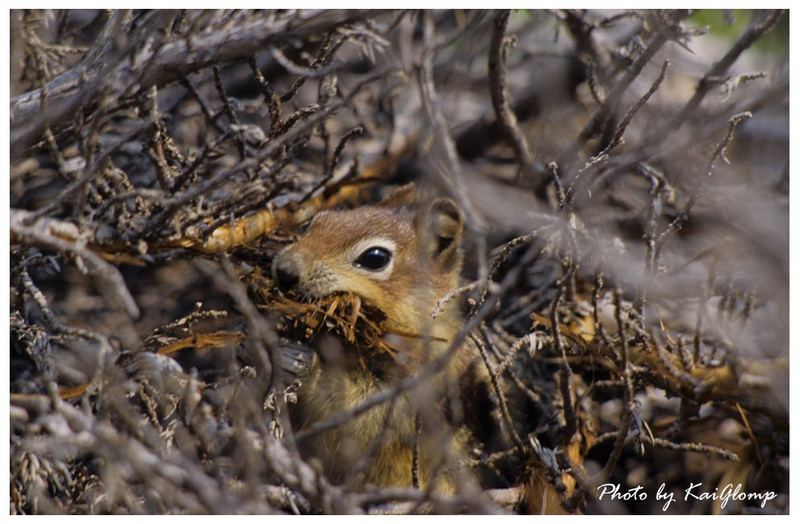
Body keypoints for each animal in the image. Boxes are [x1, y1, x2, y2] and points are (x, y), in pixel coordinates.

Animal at [270, 187, 494, 492]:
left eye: (375, 258)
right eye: (315, 223)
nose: (285, 270)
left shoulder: (417, 394)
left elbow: (359, 417)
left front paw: (304, 366)